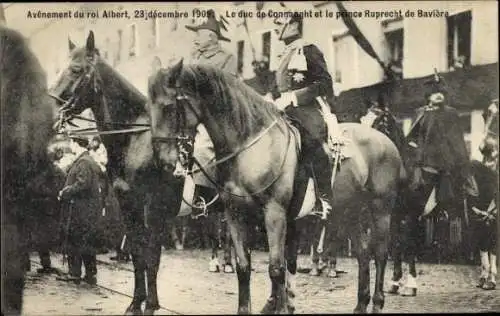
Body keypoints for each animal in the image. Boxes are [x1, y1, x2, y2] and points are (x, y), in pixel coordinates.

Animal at [148, 59, 406, 314]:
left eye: (169, 107)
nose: (163, 161)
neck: (250, 146)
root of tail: (385, 141)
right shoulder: (236, 214)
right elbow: (244, 267)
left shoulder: (275, 214)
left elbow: (277, 268)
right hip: (350, 211)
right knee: (363, 253)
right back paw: (361, 304)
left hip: (380, 209)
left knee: (380, 253)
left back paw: (377, 302)